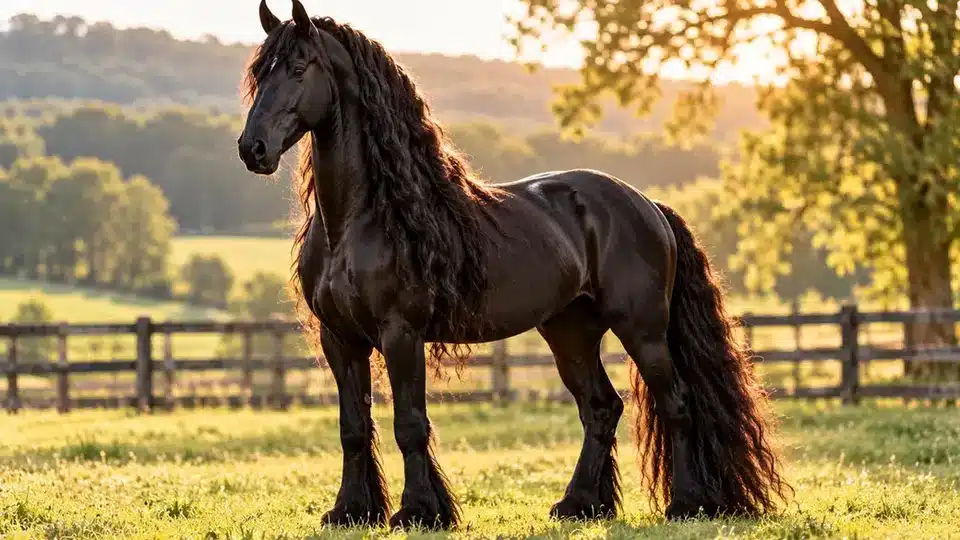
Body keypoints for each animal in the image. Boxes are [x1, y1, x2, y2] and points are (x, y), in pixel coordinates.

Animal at [237, 0, 790, 529]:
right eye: (260, 72)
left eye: (300, 67)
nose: (252, 149)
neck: (361, 219)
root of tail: (646, 204)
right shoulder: (340, 339)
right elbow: (353, 427)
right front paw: (352, 510)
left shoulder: (401, 333)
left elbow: (410, 424)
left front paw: (420, 512)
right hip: (570, 331)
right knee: (601, 408)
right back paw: (580, 505)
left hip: (643, 329)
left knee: (676, 403)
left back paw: (688, 503)